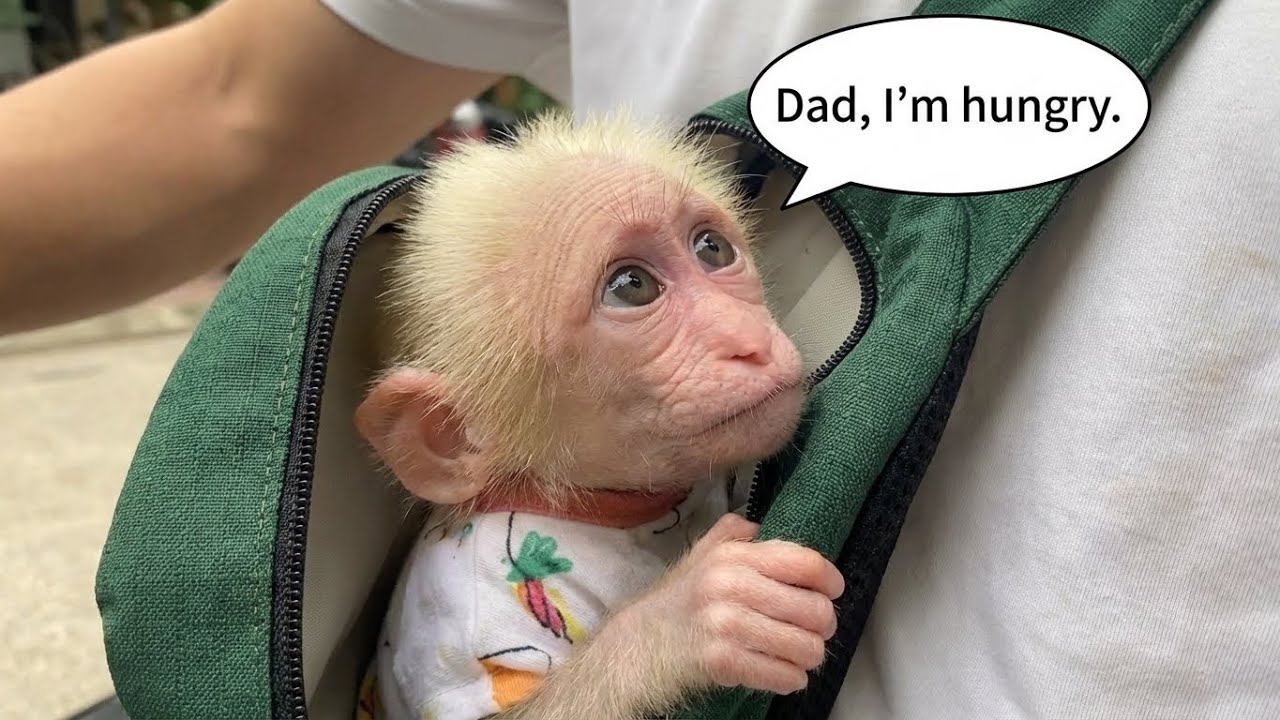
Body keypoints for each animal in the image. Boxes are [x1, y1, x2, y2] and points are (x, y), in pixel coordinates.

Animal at [353, 111, 844, 720]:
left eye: (711, 249)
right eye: (631, 287)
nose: (746, 339)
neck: (602, 509)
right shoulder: (467, 605)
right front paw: (679, 625)